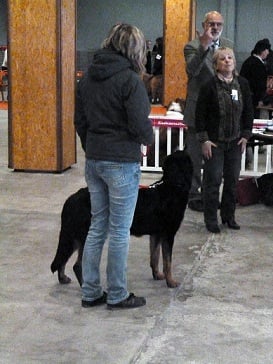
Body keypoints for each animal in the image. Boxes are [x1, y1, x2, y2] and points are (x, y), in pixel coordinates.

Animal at [50, 150, 191, 288]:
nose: (181, 183)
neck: (171, 188)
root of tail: (71, 199)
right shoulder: (168, 235)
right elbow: (168, 262)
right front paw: (171, 282)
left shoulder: (156, 234)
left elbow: (154, 257)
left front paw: (157, 275)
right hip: (84, 236)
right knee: (77, 265)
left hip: (73, 237)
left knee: (63, 258)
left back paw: (63, 278)